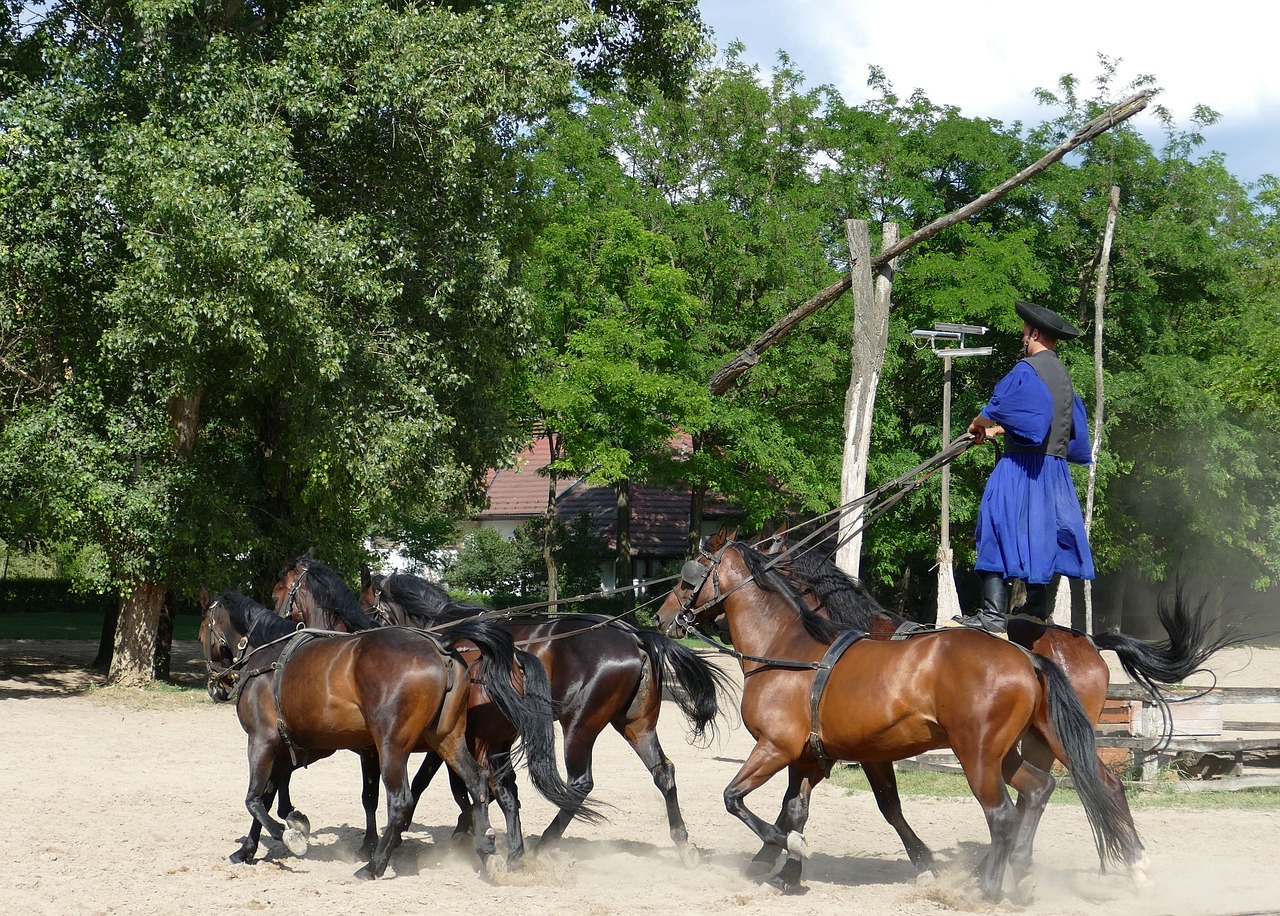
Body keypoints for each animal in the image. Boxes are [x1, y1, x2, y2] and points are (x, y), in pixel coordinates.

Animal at [200, 591, 581, 875]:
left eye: (205, 627)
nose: (215, 685)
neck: (269, 661)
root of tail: (442, 646)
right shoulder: (293, 747)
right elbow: (267, 796)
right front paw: (253, 846)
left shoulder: (263, 741)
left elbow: (254, 798)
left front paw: (289, 833)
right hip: (451, 741)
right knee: (480, 785)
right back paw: (488, 847)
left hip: (395, 746)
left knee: (403, 801)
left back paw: (375, 865)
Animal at [360, 565, 742, 864]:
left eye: (368, 609)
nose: (362, 641)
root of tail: (633, 636)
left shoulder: (454, 732)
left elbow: (432, 780)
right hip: (635, 724)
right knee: (663, 772)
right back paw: (682, 843)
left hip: (579, 726)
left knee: (580, 783)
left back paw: (545, 841)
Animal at [655, 537, 1146, 900]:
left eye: (686, 577)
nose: (661, 617)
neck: (789, 649)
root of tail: (1031, 657)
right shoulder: (812, 756)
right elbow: (796, 809)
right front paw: (787, 873)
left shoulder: (777, 748)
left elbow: (735, 799)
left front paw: (784, 853)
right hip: (1017, 749)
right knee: (1044, 789)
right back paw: (1024, 874)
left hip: (981, 755)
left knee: (1007, 812)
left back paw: (988, 887)